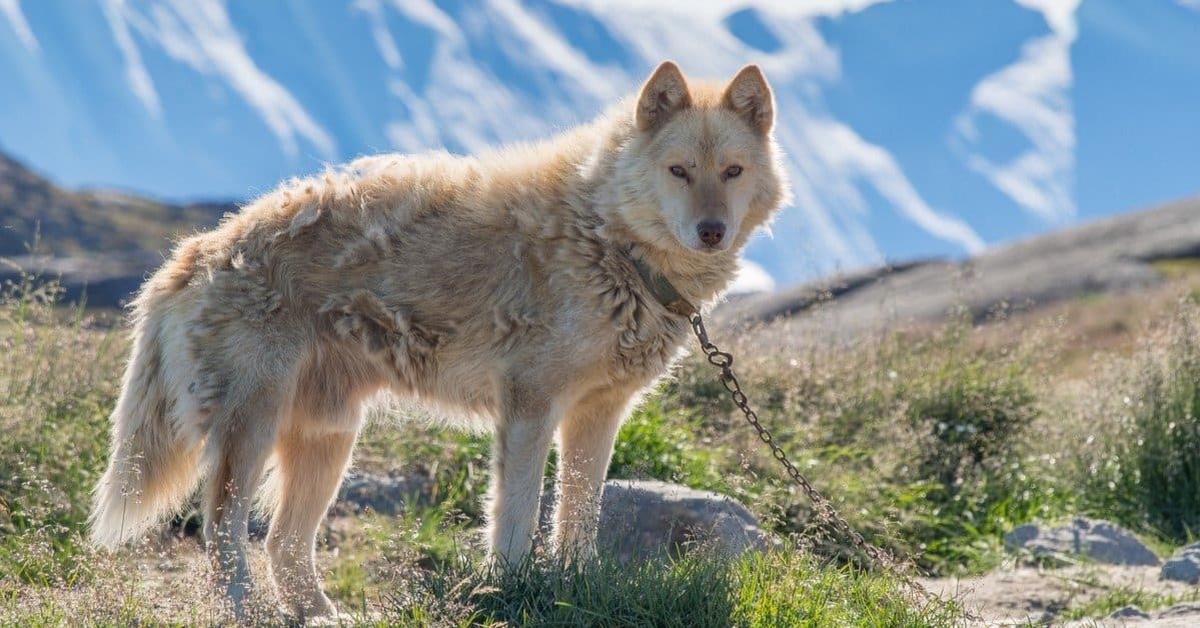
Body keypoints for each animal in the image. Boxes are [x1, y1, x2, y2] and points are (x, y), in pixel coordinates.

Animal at [91, 61, 787, 619]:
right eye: (679, 171)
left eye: (732, 171)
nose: (711, 231)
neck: (609, 238)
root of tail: (197, 251)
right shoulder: (529, 408)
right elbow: (514, 519)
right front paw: (509, 590)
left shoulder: (597, 415)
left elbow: (578, 519)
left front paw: (573, 585)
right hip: (252, 432)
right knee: (224, 535)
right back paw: (245, 613)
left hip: (328, 439)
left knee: (283, 543)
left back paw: (322, 616)